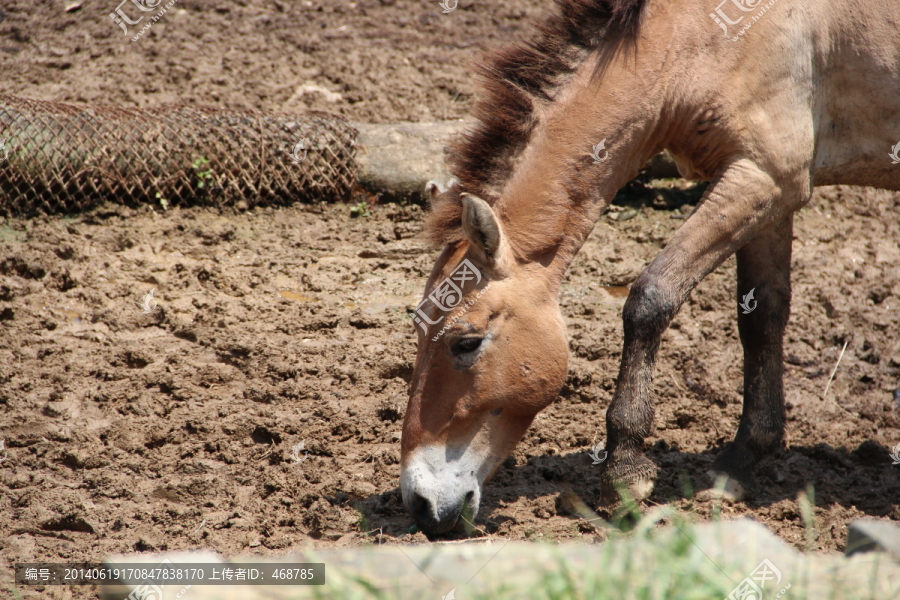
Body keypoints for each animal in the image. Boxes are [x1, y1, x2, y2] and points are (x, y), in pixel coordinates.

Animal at [400, 0, 900, 536]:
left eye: (466, 342)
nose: (419, 502)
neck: (701, 38)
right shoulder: (773, 194)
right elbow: (761, 318)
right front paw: (742, 462)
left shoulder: (763, 179)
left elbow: (651, 296)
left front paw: (624, 474)